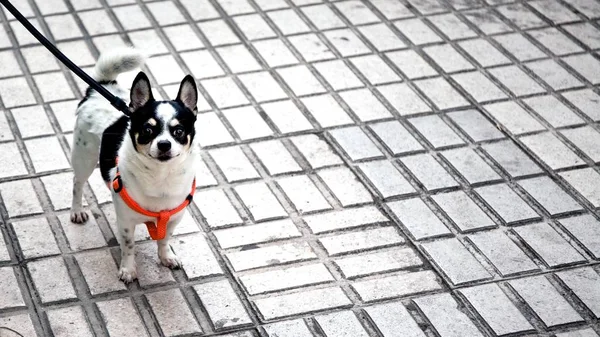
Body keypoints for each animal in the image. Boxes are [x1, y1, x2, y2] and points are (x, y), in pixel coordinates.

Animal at [69, 48, 198, 282]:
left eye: (179, 131)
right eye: (148, 130)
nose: (164, 144)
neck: (160, 176)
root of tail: (101, 88)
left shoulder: (173, 218)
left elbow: (164, 239)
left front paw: (166, 256)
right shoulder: (126, 222)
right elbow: (128, 246)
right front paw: (128, 269)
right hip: (84, 157)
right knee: (77, 182)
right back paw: (76, 210)